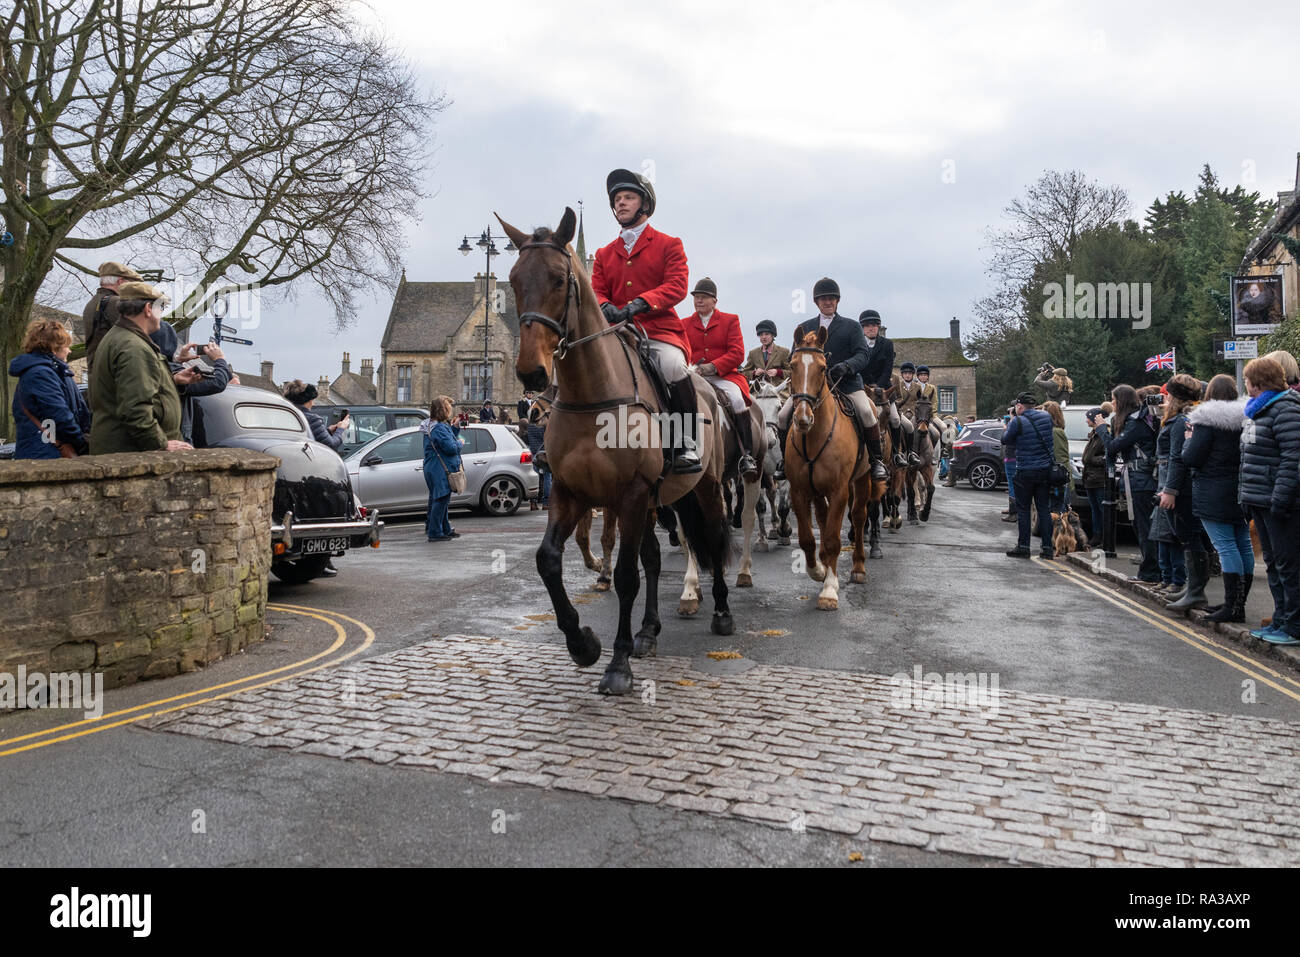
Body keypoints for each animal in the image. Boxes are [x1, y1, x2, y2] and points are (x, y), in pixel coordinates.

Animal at [501, 208, 738, 696]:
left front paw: (618, 664)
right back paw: (649, 631)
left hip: (703, 488)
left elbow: (627, 575)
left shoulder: (629, 493)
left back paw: (722, 612)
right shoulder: (570, 493)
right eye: (513, 280)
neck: (592, 394)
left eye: (559, 279)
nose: (531, 373)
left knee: (713, 534)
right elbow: (548, 561)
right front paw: (583, 643)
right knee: (653, 556)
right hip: (655, 501)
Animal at [785, 328, 868, 608]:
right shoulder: (799, 491)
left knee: (859, 517)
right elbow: (807, 539)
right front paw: (818, 571)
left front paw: (830, 589)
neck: (813, 436)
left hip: (863, 480)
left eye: (823, 368)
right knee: (822, 518)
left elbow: (833, 538)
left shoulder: (839, 490)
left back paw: (858, 568)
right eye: (792, 365)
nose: (802, 419)